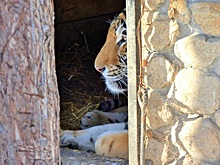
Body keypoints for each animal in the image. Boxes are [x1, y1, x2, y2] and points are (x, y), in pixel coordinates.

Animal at [60, 8, 129, 159]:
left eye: (123, 40)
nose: (97, 68)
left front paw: (103, 141)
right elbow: (99, 130)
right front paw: (65, 134)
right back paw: (92, 117)